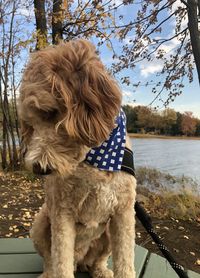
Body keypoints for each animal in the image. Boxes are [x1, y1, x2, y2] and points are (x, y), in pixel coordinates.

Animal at [18, 39, 136, 278]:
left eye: (50, 112)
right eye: (30, 124)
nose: (39, 169)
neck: (95, 158)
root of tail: (80, 258)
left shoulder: (124, 213)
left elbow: (126, 262)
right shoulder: (62, 213)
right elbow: (60, 262)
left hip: (106, 233)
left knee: (97, 260)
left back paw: (100, 271)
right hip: (40, 223)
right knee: (51, 260)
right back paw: (48, 274)